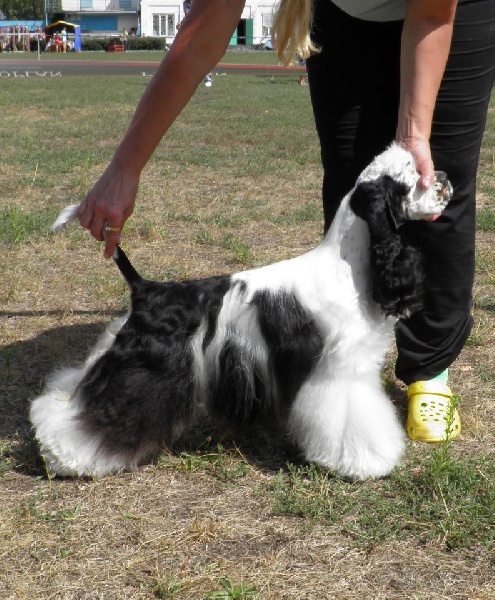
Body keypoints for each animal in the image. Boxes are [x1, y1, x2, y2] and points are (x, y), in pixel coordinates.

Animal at [30, 143, 452, 480]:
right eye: (413, 175)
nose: (445, 177)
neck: (351, 265)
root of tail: (145, 288)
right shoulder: (340, 371)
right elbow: (352, 421)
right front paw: (365, 461)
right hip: (144, 371)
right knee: (100, 414)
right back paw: (65, 456)